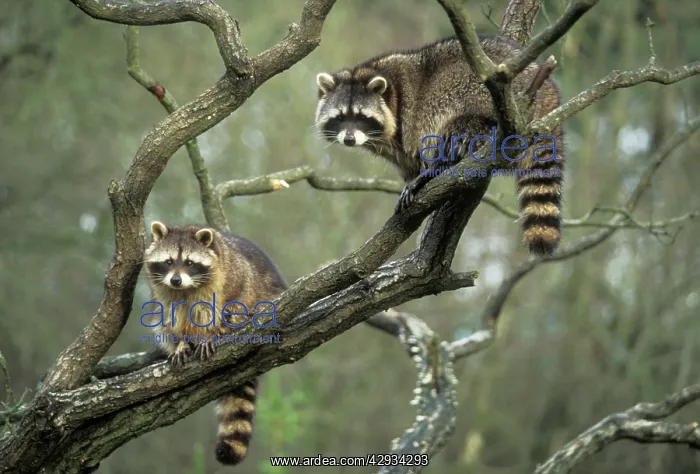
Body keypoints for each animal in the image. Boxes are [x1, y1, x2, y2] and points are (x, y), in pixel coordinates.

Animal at [143, 221, 287, 465]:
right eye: (169, 262)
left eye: (190, 263)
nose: (175, 280)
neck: (185, 288)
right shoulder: (163, 291)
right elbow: (171, 317)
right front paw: (180, 342)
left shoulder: (233, 275)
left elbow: (232, 298)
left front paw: (212, 332)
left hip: (268, 293)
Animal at [314, 34, 564, 256]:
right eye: (340, 117)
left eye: (360, 117)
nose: (349, 139)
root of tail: (548, 91)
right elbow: (407, 160)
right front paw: (412, 177)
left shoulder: (409, 118)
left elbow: (422, 136)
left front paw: (424, 174)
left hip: (489, 97)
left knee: (454, 126)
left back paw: (441, 164)